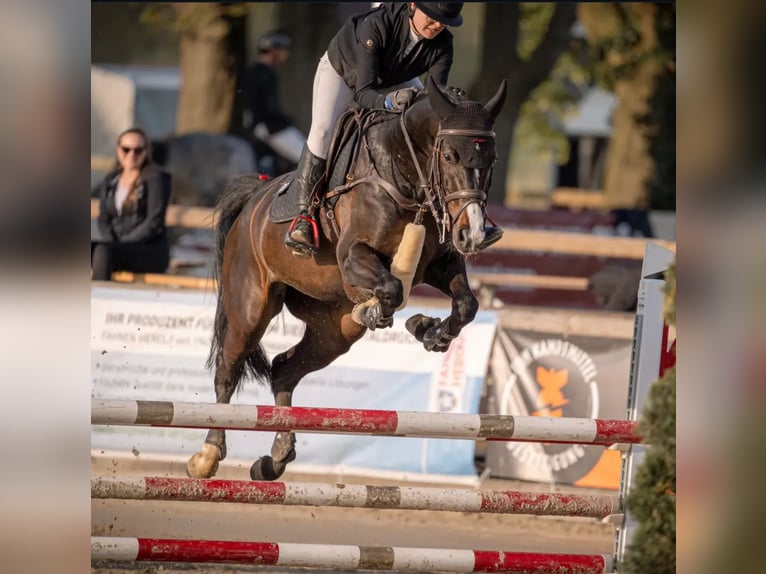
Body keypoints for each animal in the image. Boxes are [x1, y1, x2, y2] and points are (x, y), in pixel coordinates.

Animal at [187, 75, 507, 481]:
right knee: (228, 371)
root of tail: (252, 200)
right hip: (251, 308)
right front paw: (387, 315)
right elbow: (390, 287)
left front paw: (429, 331)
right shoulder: (353, 255)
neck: (404, 175)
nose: (475, 234)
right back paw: (208, 454)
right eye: (449, 155)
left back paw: (275, 458)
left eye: (491, 159)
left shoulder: (439, 263)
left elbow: (466, 304)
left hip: (332, 331)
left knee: (284, 370)